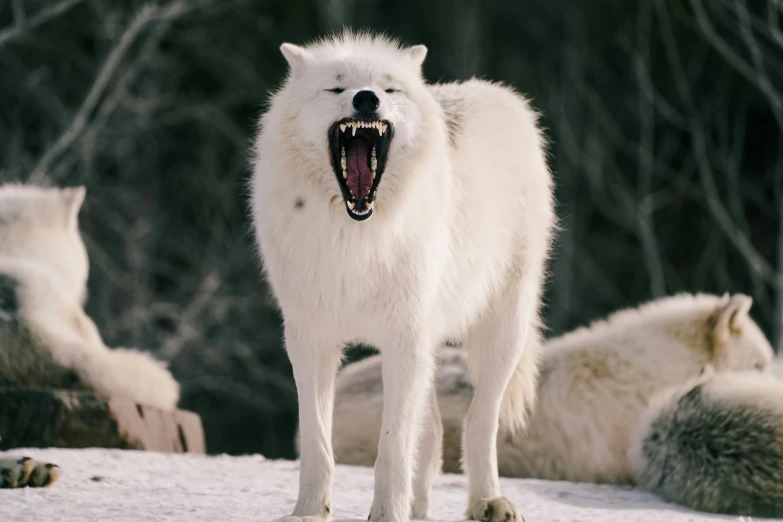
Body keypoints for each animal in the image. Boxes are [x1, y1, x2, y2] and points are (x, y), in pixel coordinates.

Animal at [251, 31, 556, 520]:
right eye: (337, 87)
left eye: (388, 88)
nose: (366, 99)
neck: (356, 237)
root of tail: (499, 94)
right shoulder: (309, 338)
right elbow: (317, 441)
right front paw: (309, 512)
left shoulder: (403, 338)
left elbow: (392, 448)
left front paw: (387, 514)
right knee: (431, 435)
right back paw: (421, 509)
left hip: (502, 331)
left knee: (478, 420)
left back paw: (488, 500)